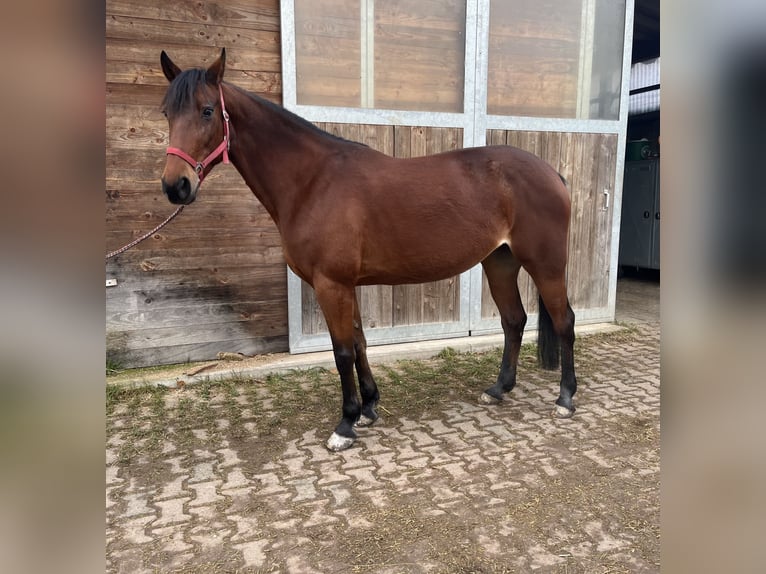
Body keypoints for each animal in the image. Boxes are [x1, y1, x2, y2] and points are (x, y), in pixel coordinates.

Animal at [164, 49, 584, 452]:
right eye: (167, 112)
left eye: (207, 110)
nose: (175, 186)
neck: (313, 182)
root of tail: (551, 173)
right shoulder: (345, 285)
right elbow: (360, 343)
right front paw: (368, 408)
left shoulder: (331, 284)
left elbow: (342, 353)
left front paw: (345, 424)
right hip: (500, 262)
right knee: (514, 320)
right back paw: (498, 390)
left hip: (545, 264)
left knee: (564, 321)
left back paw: (565, 399)